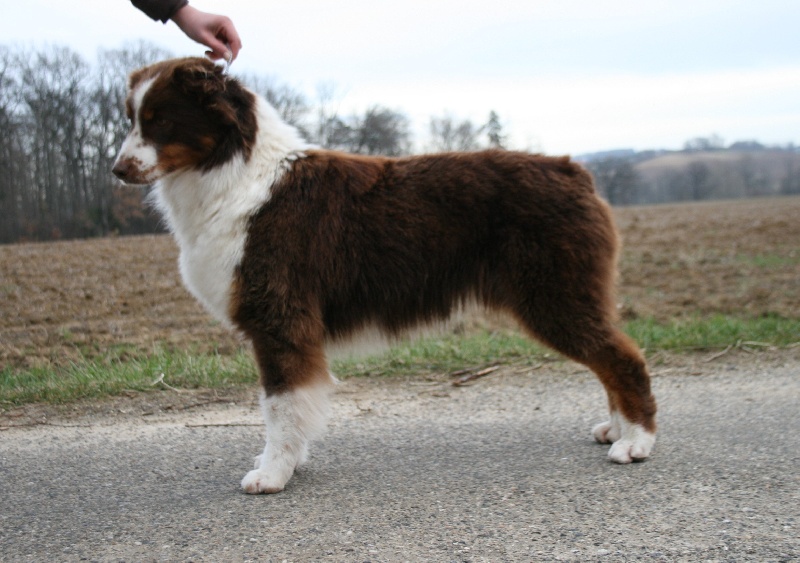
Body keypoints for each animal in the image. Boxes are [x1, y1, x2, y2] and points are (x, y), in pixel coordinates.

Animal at [112, 57, 657, 494]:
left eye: (161, 120)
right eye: (132, 118)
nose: (117, 170)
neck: (238, 176)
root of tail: (574, 170)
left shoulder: (279, 318)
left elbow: (280, 405)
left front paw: (272, 474)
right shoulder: (286, 325)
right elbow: (292, 405)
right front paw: (290, 461)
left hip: (554, 295)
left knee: (622, 357)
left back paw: (637, 443)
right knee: (609, 355)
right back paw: (616, 429)